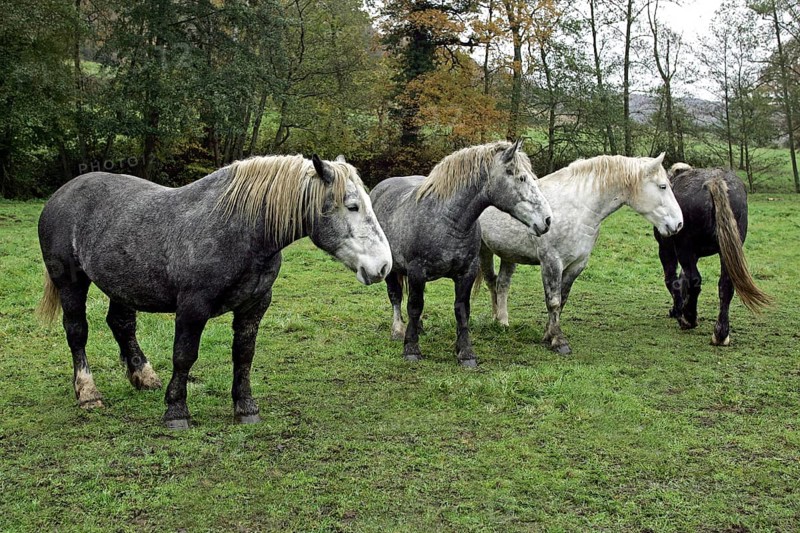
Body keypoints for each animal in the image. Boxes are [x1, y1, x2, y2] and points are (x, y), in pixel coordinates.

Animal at [37, 154, 392, 429]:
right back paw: (88, 393)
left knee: (122, 324)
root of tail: (61, 194)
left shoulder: (254, 305)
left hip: (123, 285)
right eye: (352, 206)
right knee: (77, 331)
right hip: (71, 283)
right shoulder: (192, 307)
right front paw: (176, 411)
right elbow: (184, 355)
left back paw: (143, 376)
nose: (383, 266)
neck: (238, 230)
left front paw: (246, 407)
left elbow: (244, 355)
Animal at [370, 140, 553, 367]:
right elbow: (414, 305)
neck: (447, 220)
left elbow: (462, 310)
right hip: (392, 270)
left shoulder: (467, 272)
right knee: (395, 296)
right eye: (521, 177)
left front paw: (466, 353)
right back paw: (397, 330)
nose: (547, 220)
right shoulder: (416, 271)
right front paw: (411, 348)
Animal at [477, 153, 684, 355]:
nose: (679, 224)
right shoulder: (551, 262)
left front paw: (548, 335)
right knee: (492, 282)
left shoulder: (577, 264)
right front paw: (558, 341)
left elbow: (562, 300)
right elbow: (553, 301)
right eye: (663, 186)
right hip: (484, 251)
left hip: (508, 254)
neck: (578, 208)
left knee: (502, 284)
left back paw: (502, 322)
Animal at [655, 164, 770, 345]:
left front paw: (681, 312)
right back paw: (721, 334)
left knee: (695, 280)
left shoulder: (667, 249)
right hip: (726, 253)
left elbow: (673, 280)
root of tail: (714, 182)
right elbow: (682, 279)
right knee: (726, 285)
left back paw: (689, 319)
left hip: (684, 248)